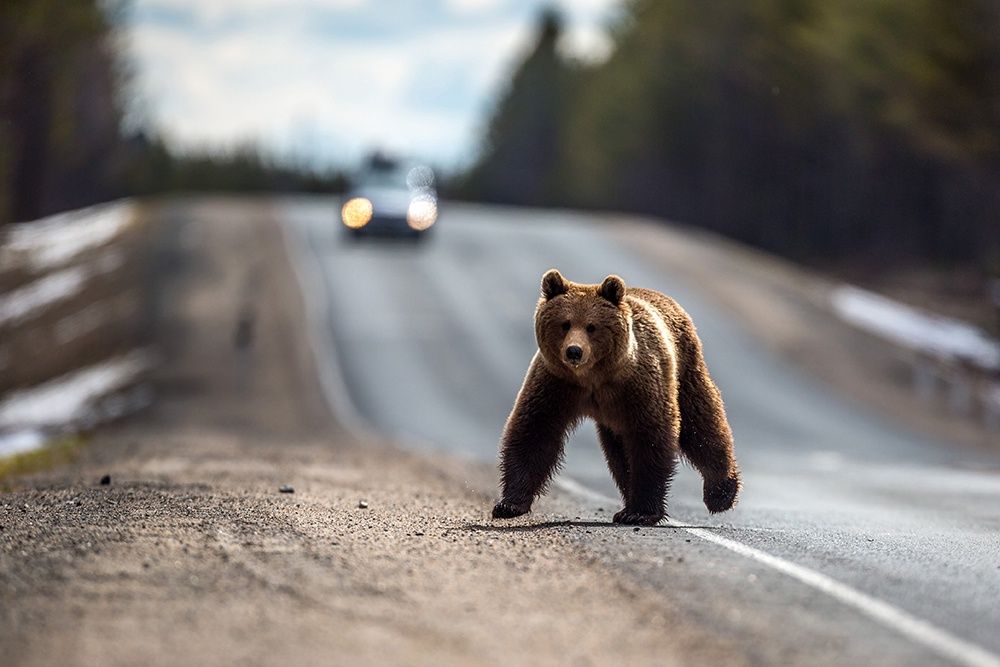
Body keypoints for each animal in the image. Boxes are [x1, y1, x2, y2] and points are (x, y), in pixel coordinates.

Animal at [494, 268, 744, 524]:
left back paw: (721, 493)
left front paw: (642, 512)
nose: (574, 351)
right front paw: (509, 504)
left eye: (592, 326)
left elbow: (651, 437)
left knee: (701, 424)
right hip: (615, 417)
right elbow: (535, 431)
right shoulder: (557, 383)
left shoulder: (638, 385)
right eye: (565, 324)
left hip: (684, 370)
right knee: (619, 453)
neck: (594, 377)